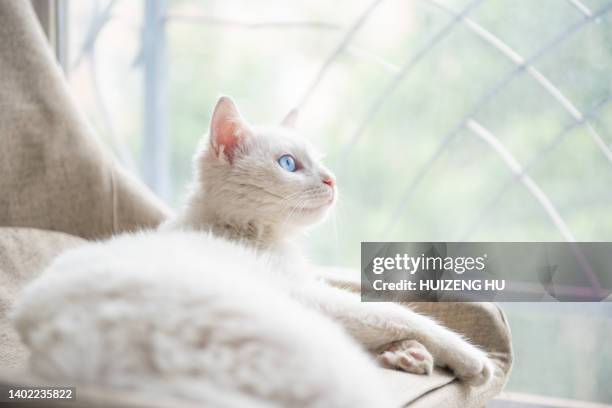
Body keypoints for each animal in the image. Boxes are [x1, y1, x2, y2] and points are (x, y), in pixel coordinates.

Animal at [11, 97, 494, 406]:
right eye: (288, 164)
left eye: (319, 159)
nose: (332, 179)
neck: (245, 230)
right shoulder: (309, 295)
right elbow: (397, 313)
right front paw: (469, 356)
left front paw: (409, 352)